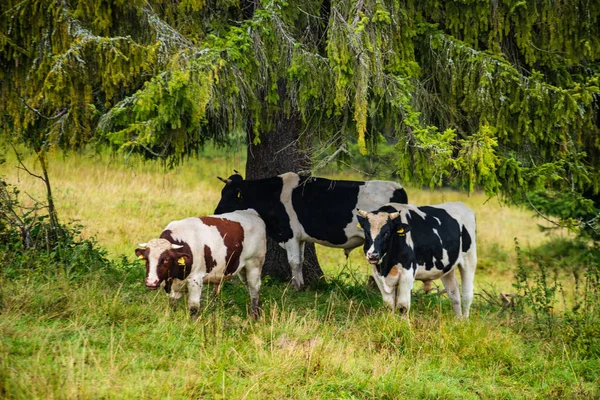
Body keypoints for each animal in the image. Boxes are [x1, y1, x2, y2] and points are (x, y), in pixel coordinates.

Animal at [137, 209, 268, 318]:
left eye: (166, 259)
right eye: (146, 260)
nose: (151, 282)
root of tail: (251, 212)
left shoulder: (196, 279)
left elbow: (193, 306)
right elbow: (172, 302)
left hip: (254, 264)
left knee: (255, 288)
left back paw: (254, 316)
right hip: (242, 269)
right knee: (249, 287)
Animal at [212, 170, 408, 290]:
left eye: (229, 194)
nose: (215, 213)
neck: (272, 195)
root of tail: (397, 187)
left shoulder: (289, 234)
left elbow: (293, 261)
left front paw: (296, 286)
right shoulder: (300, 238)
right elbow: (300, 260)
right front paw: (300, 284)